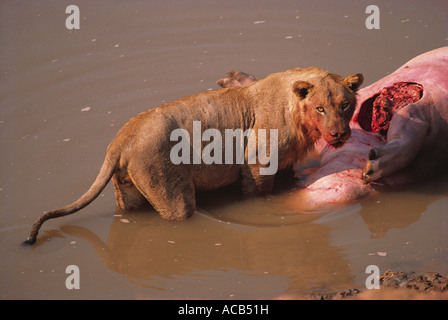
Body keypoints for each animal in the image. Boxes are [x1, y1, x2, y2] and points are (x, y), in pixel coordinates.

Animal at [24, 67, 362, 242]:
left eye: (345, 105)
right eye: (320, 108)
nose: (339, 134)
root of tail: (120, 140)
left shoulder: (286, 164)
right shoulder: (257, 162)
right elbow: (258, 194)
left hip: (128, 193)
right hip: (173, 194)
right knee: (178, 212)